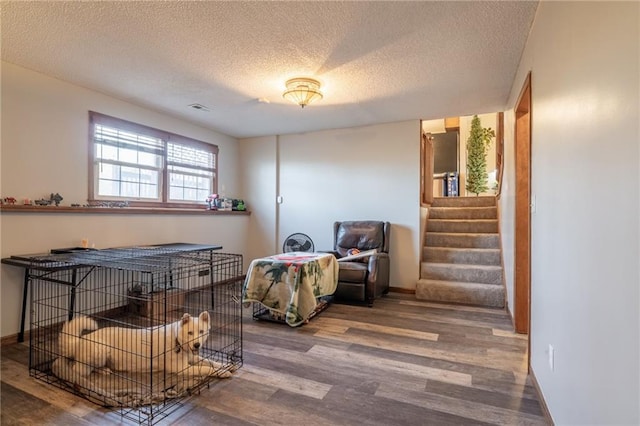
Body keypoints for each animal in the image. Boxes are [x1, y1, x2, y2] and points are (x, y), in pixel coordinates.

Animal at [52, 310, 232, 386]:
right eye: (190, 333)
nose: (197, 345)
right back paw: (99, 371)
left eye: (201, 332)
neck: (178, 341)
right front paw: (221, 372)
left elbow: (209, 361)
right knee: (76, 368)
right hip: (100, 351)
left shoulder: (193, 357)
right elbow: (205, 369)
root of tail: (80, 340)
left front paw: (225, 366)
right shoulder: (182, 369)